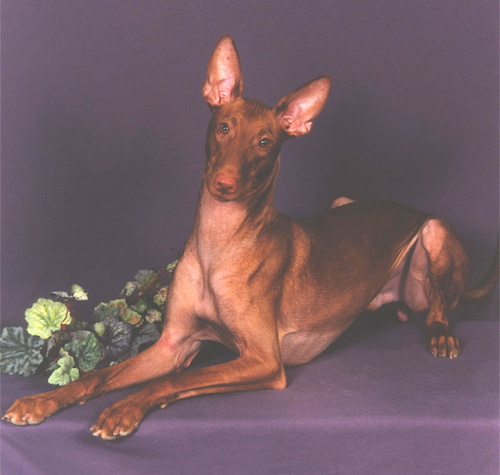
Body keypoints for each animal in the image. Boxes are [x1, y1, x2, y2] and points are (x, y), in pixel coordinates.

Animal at [1, 35, 498, 440]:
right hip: (342, 200)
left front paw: (122, 410)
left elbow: (173, 382)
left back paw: (441, 334)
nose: (223, 184)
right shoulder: (172, 345)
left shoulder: (262, 360)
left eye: (265, 143)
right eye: (224, 127)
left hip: (432, 233)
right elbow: (97, 377)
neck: (219, 243)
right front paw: (41, 401)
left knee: (439, 307)